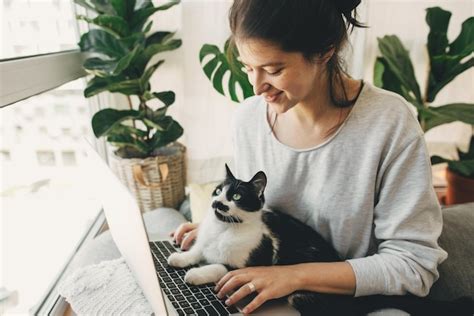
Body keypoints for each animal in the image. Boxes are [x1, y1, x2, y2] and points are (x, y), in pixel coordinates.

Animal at [168, 164, 472, 314]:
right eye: (218, 190)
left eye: (237, 196)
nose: (217, 202)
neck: (223, 229)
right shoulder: (205, 240)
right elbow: (197, 250)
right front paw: (180, 258)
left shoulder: (253, 262)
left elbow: (221, 267)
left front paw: (195, 275)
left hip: (302, 297)